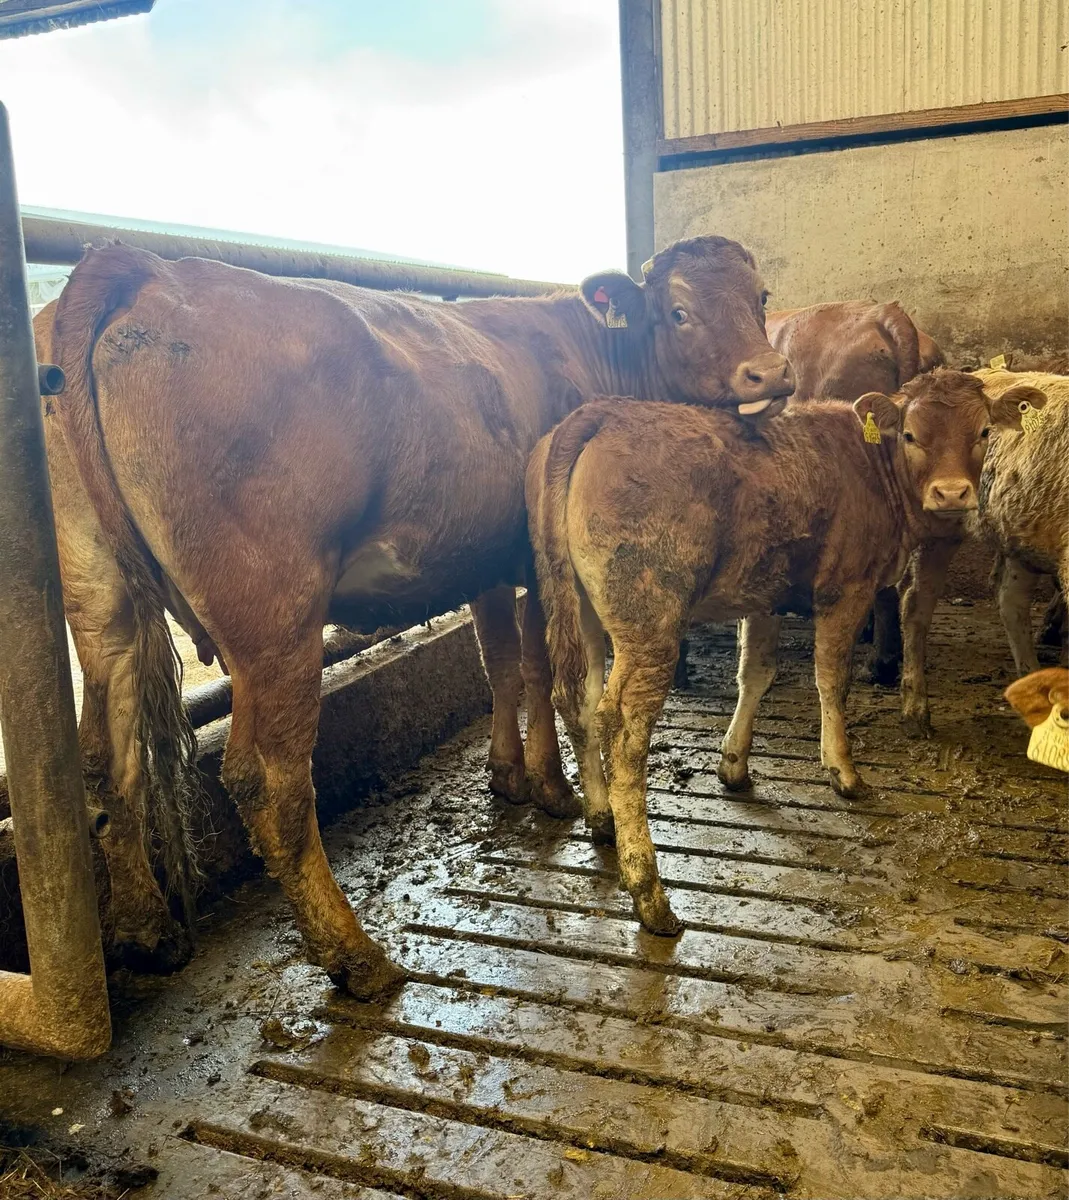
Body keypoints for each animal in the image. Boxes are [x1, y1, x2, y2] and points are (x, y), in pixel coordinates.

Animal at [46, 235, 792, 996]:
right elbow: (538, 665)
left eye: (759, 296)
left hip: (99, 593)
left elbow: (499, 662)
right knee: (267, 780)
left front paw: (507, 774)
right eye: (679, 310)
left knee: (107, 754)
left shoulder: (485, 557)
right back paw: (355, 957)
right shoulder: (535, 557)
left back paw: (146, 931)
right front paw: (554, 788)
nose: (770, 371)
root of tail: (145, 268)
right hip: (273, 612)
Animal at [527, 370, 1039, 933]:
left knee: (577, 698)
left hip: (578, 605)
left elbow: (756, 672)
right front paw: (843, 771)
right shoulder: (846, 588)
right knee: (621, 729)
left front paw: (733, 765)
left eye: (984, 431)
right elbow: (831, 677)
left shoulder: (762, 592)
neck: (872, 468)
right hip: (650, 618)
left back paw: (602, 822)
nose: (951, 493)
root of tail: (602, 412)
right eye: (911, 435)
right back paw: (649, 893)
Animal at [897, 368, 1067, 735]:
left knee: (1010, 600)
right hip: (939, 531)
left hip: (1019, 536)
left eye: (985, 431)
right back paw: (915, 709)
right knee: (916, 604)